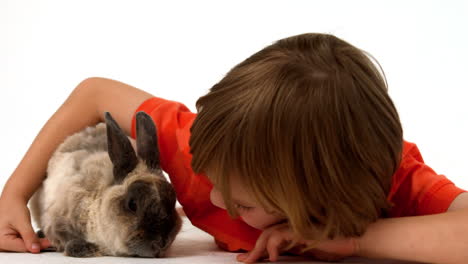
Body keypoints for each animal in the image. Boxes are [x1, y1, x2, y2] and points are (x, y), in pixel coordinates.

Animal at [29, 111, 183, 258]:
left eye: (173, 202)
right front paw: (84, 249)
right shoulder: (57, 220)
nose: (161, 243)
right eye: (132, 205)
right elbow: (65, 237)